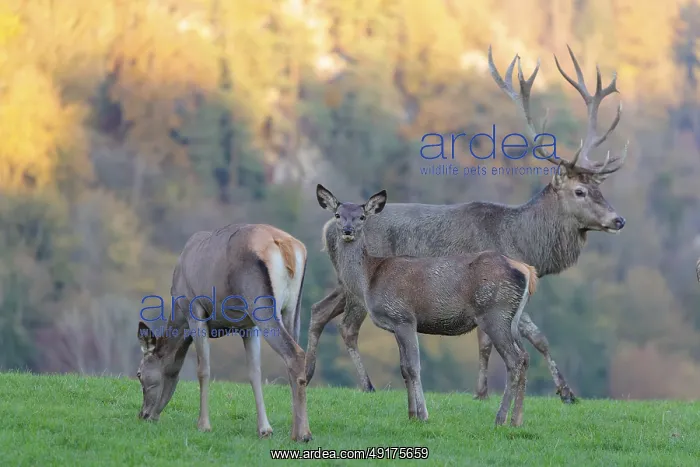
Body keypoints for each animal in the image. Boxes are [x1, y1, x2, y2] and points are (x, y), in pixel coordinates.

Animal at [136, 223, 313, 442]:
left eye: (139, 374)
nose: (144, 414)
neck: (178, 315)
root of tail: (285, 246)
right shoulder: (247, 326)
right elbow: (254, 372)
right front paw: (264, 429)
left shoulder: (194, 311)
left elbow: (203, 370)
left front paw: (203, 425)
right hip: (293, 309)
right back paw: (296, 430)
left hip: (261, 304)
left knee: (294, 354)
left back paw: (303, 434)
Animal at [316, 184, 537, 425]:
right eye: (338, 214)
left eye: (362, 216)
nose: (347, 230)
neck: (369, 278)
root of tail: (527, 270)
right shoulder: (395, 325)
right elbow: (404, 368)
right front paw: (411, 414)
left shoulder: (403, 317)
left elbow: (413, 367)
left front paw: (423, 415)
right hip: (511, 319)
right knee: (525, 357)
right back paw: (517, 420)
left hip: (495, 313)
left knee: (514, 360)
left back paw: (500, 418)